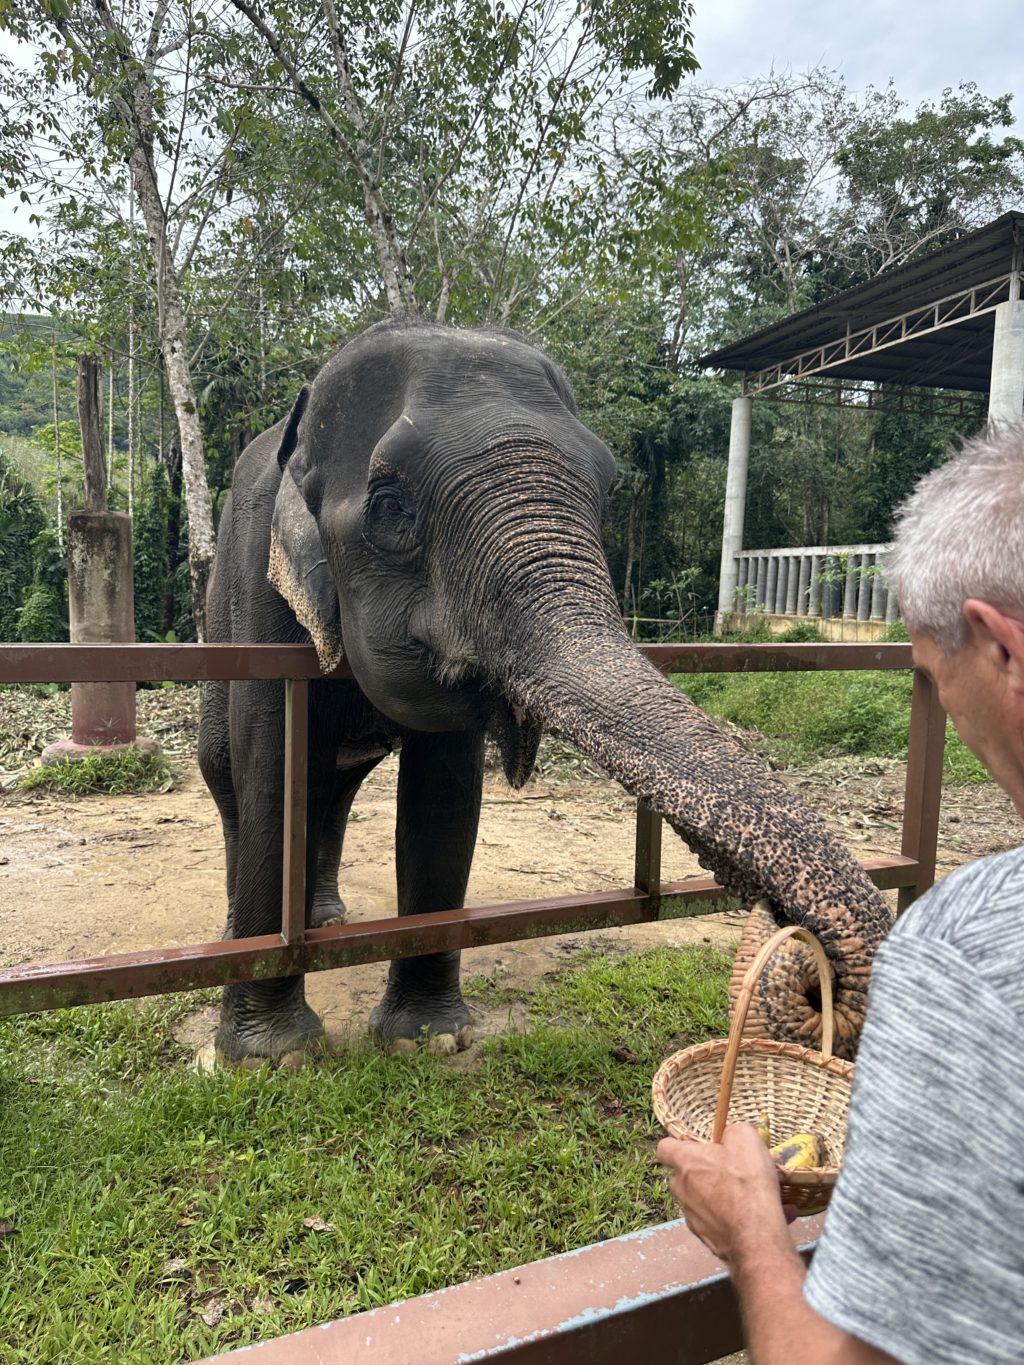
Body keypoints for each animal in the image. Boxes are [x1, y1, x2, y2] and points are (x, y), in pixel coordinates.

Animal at [197, 319, 890, 1064]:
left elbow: (443, 794)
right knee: (229, 769)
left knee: (338, 783)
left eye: (609, 494)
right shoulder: (258, 586)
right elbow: (273, 766)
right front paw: (272, 1057)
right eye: (390, 508)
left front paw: (429, 1041)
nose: (804, 953)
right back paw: (241, 928)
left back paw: (325, 918)